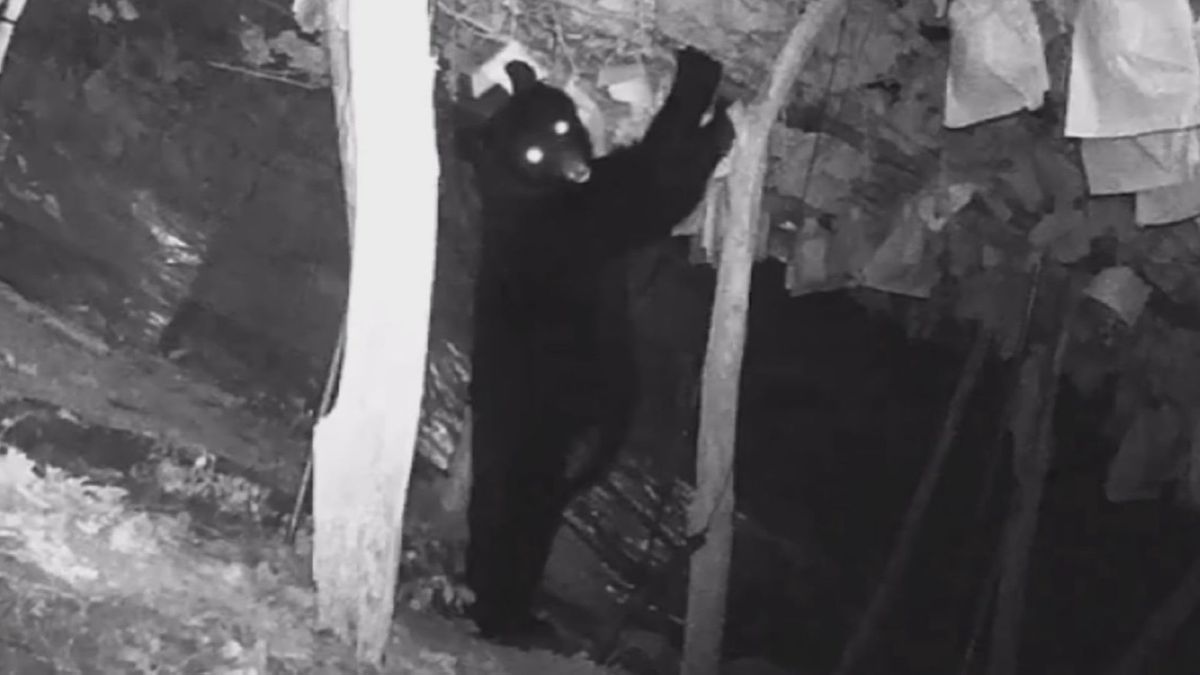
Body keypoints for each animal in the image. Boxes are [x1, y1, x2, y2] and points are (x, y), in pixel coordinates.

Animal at [462, 46, 735, 645]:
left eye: (564, 124)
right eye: (534, 152)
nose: (577, 167)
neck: (531, 193)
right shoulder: (580, 222)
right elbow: (655, 185)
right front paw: (706, 94)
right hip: (541, 431)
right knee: (522, 519)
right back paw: (509, 618)